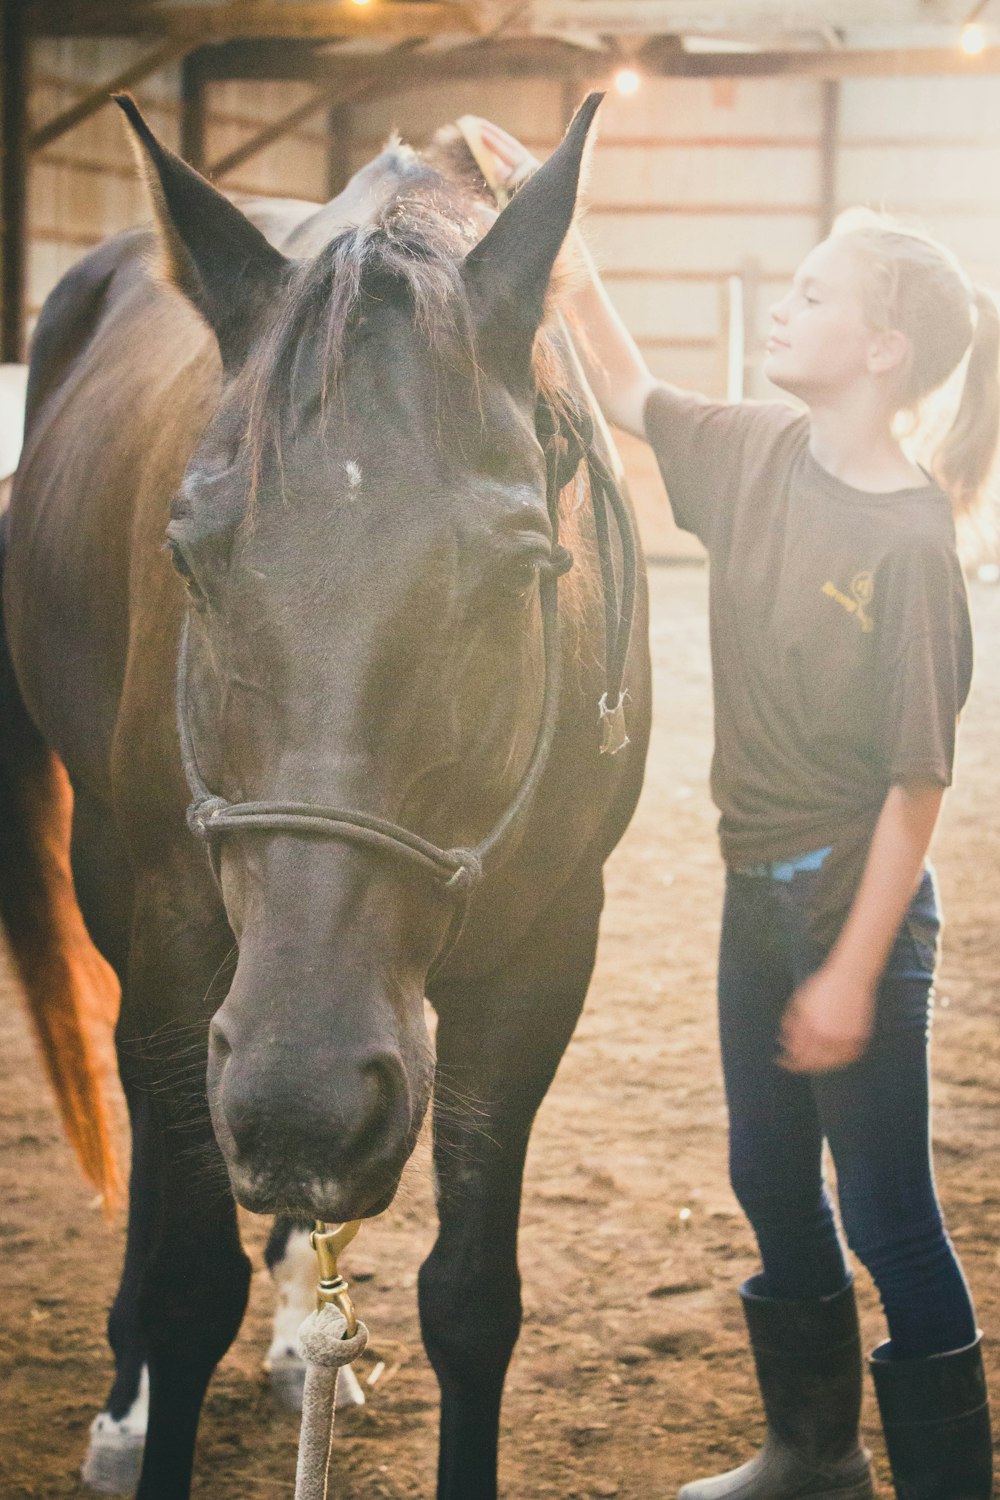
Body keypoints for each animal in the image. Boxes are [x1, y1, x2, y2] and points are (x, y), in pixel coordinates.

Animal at [0, 96, 653, 1500]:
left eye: (523, 565)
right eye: (187, 556)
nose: (300, 1103)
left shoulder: (543, 962)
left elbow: (471, 1303)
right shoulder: (184, 942)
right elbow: (189, 1285)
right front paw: (155, 1398)